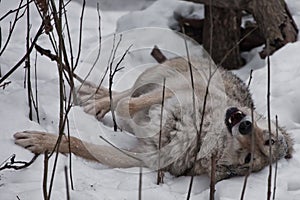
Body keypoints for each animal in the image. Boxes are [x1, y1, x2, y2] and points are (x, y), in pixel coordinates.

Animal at [14, 56, 292, 181]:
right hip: (158, 74)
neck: (199, 133)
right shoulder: (178, 91)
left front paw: (39, 141)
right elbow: (126, 104)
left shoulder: (139, 158)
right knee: (120, 94)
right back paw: (93, 100)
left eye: (248, 159)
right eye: (268, 139)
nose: (245, 125)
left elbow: (77, 143)